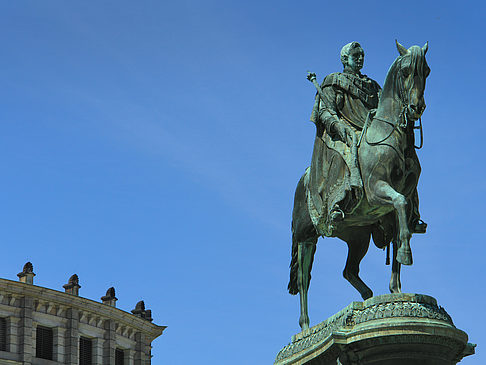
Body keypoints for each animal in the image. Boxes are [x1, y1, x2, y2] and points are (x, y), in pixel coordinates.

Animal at [288, 41, 430, 328]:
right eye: (406, 71)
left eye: (427, 71)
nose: (416, 108)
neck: (391, 138)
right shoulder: (377, 192)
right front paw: (406, 254)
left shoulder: (400, 207)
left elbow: (401, 227)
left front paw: (396, 289)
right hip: (305, 236)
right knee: (303, 279)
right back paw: (305, 326)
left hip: (358, 237)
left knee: (349, 270)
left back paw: (365, 298)